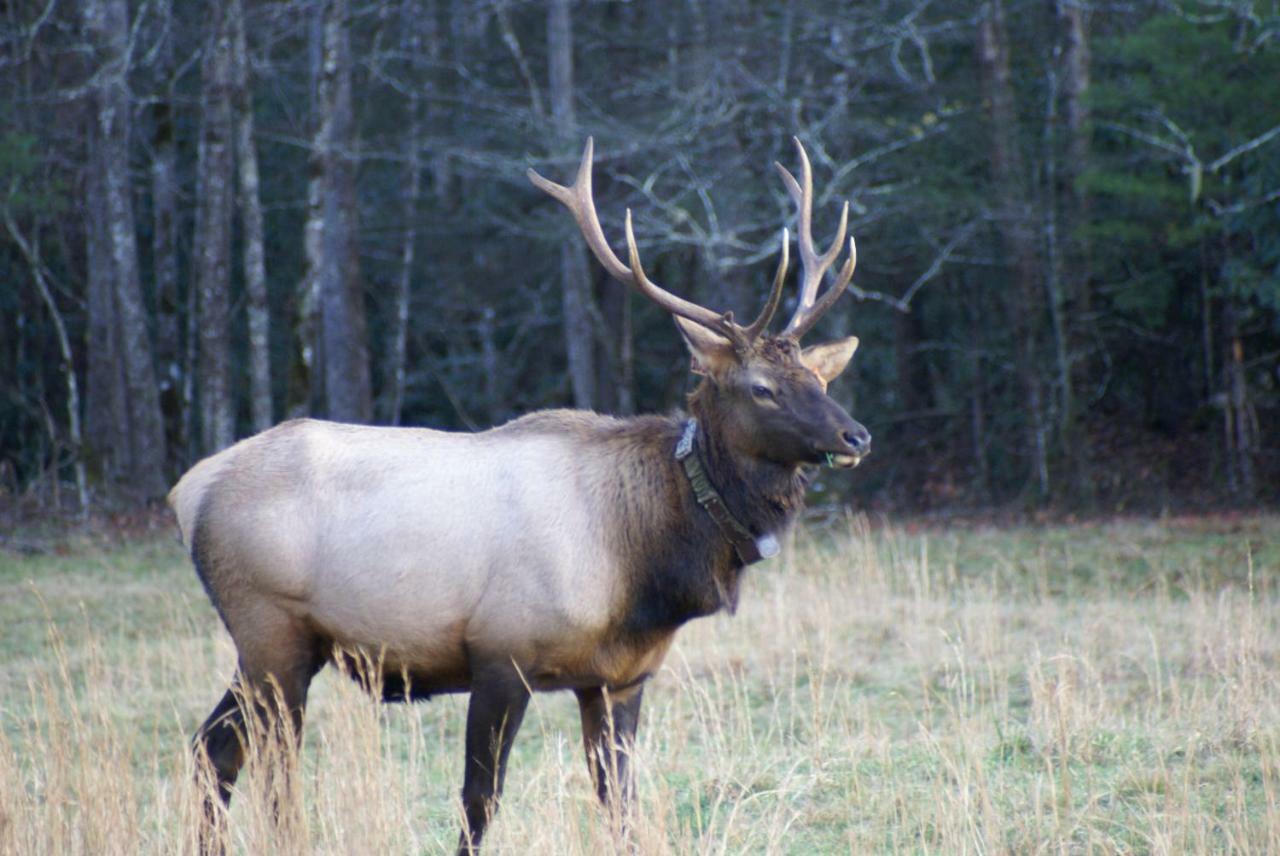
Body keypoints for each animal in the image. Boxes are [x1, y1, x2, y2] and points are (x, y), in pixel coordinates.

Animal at [170, 136, 870, 849]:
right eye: (761, 388)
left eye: (818, 376)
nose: (856, 434)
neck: (642, 568)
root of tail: (189, 490)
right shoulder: (502, 654)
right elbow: (479, 800)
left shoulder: (620, 678)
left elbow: (619, 802)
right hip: (270, 632)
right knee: (266, 770)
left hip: (278, 648)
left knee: (211, 750)